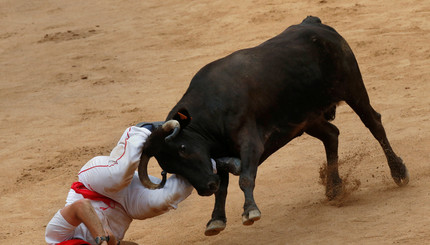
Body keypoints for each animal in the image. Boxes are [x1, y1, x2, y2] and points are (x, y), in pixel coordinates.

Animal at [138, 16, 410, 235]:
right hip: (306, 119)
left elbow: (245, 178)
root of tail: (314, 23)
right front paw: (216, 220)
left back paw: (398, 172)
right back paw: (334, 188)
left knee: (374, 124)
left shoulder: (249, 143)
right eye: (167, 167)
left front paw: (250, 211)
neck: (211, 110)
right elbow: (223, 188)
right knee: (332, 135)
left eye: (183, 148)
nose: (206, 187)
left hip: (354, 88)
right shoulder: (217, 154)